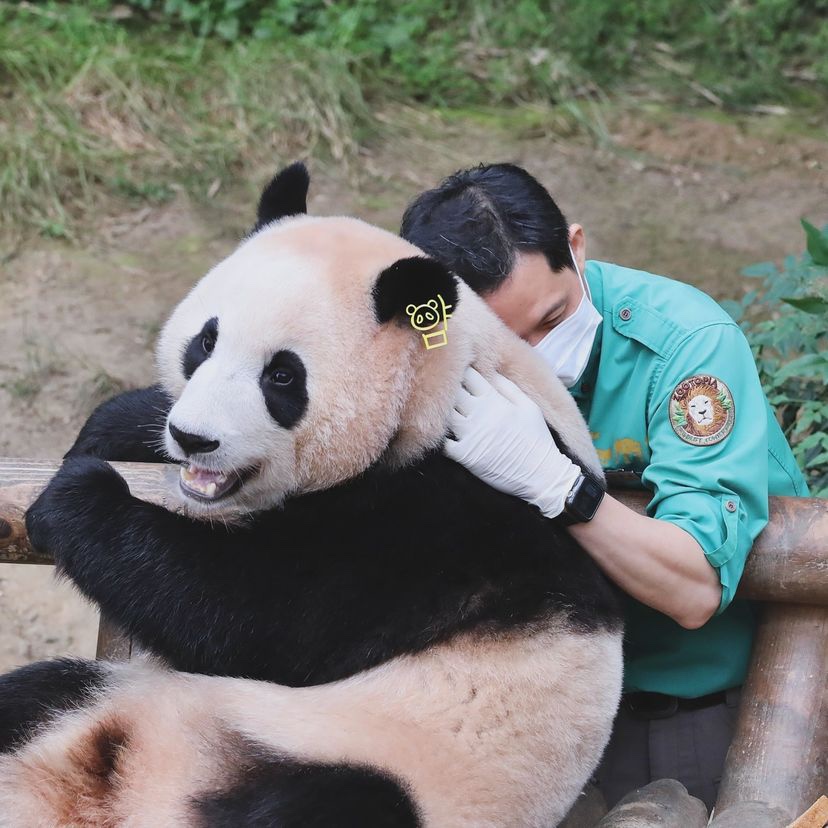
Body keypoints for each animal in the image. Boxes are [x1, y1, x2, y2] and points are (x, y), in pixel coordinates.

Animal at [0, 163, 620, 828]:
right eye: (205, 342)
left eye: (281, 376)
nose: (193, 438)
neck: (447, 377)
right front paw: (111, 430)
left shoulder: (447, 523)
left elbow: (253, 610)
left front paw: (74, 497)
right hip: (108, 695)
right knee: (40, 693)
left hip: (380, 764)